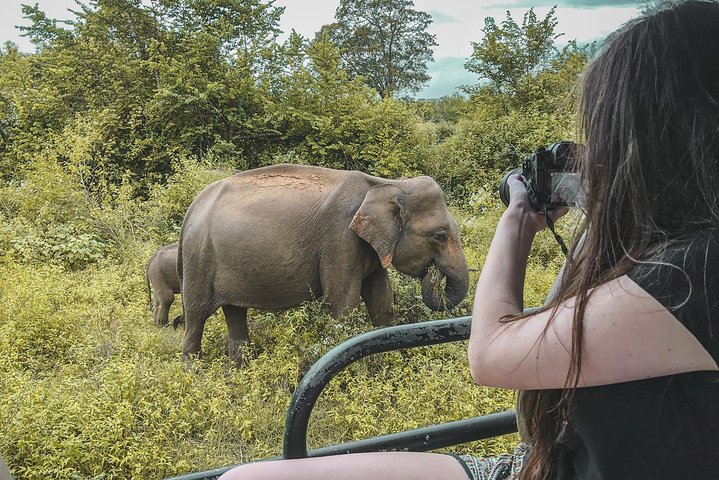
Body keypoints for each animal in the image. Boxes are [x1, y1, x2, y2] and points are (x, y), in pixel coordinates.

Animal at [179, 165, 472, 360]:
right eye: (440, 235)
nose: (433, 274)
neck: (384, 184)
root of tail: (192, 208)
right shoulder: (340, 239)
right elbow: (343, 304)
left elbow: (381, 300)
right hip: (199, 258)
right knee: (196, 316)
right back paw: (193, 370)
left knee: (234, 313)